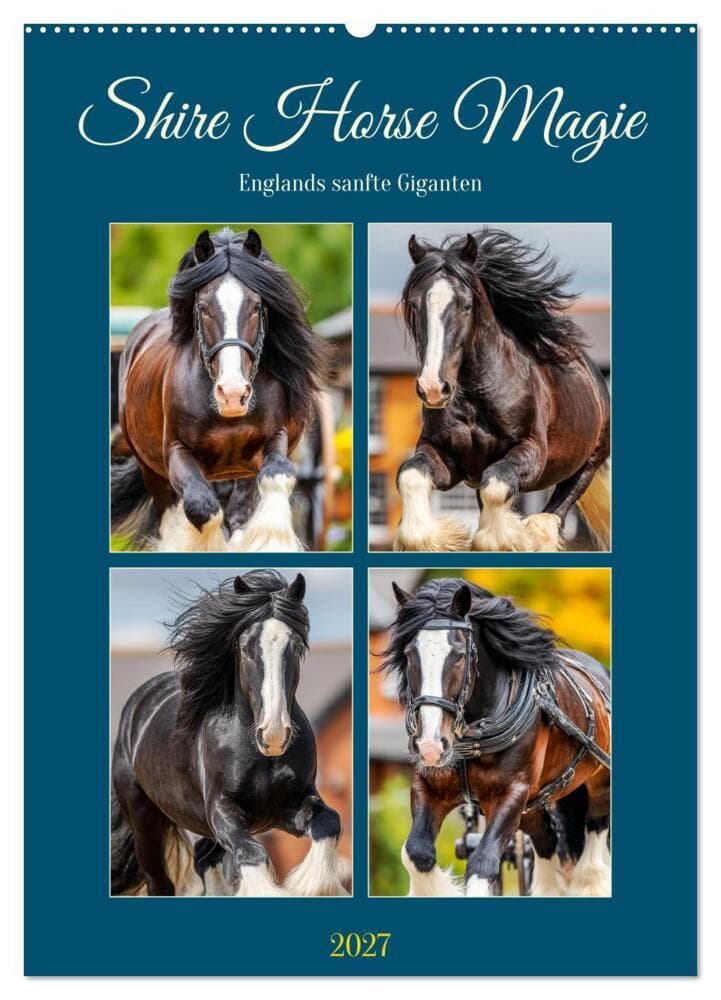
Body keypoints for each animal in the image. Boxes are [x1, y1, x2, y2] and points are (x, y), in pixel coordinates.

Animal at [111, 227, 333, 552]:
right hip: (153, 472)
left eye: (257, 306)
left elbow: (277, 478)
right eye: (203, 308)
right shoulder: (176, 453)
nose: (232, 395)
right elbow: (203, 509)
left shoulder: (271, 442)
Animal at [111, 570, 347, 897]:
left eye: (297, 647)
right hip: (144, 821)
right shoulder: (223, 811)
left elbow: (330, 822)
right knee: (161, 881)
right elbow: (252, 854)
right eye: (245, 648)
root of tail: (139, 703)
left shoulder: (289, 808)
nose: (273, 735)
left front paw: (313, 886)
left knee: (203, 858)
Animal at [382, 577, 611, 897]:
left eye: (459, 655)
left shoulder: (511, 793)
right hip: (533, 805)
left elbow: (483, 863)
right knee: (548, 842)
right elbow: (416, 853)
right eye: (408, 655)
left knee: (593, 844)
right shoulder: (429, 787)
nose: (429, 746)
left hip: (598, 787)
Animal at [394, 229, 610, 552]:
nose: (433, 388)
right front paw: (440, 537)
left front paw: (501, 538)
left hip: (586, 464)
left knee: (550, 517)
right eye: (415, 305)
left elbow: (496, 486)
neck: (478, 395)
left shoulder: (530, 452)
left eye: (466, 305)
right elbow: (410, 475)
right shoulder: (446, 456)